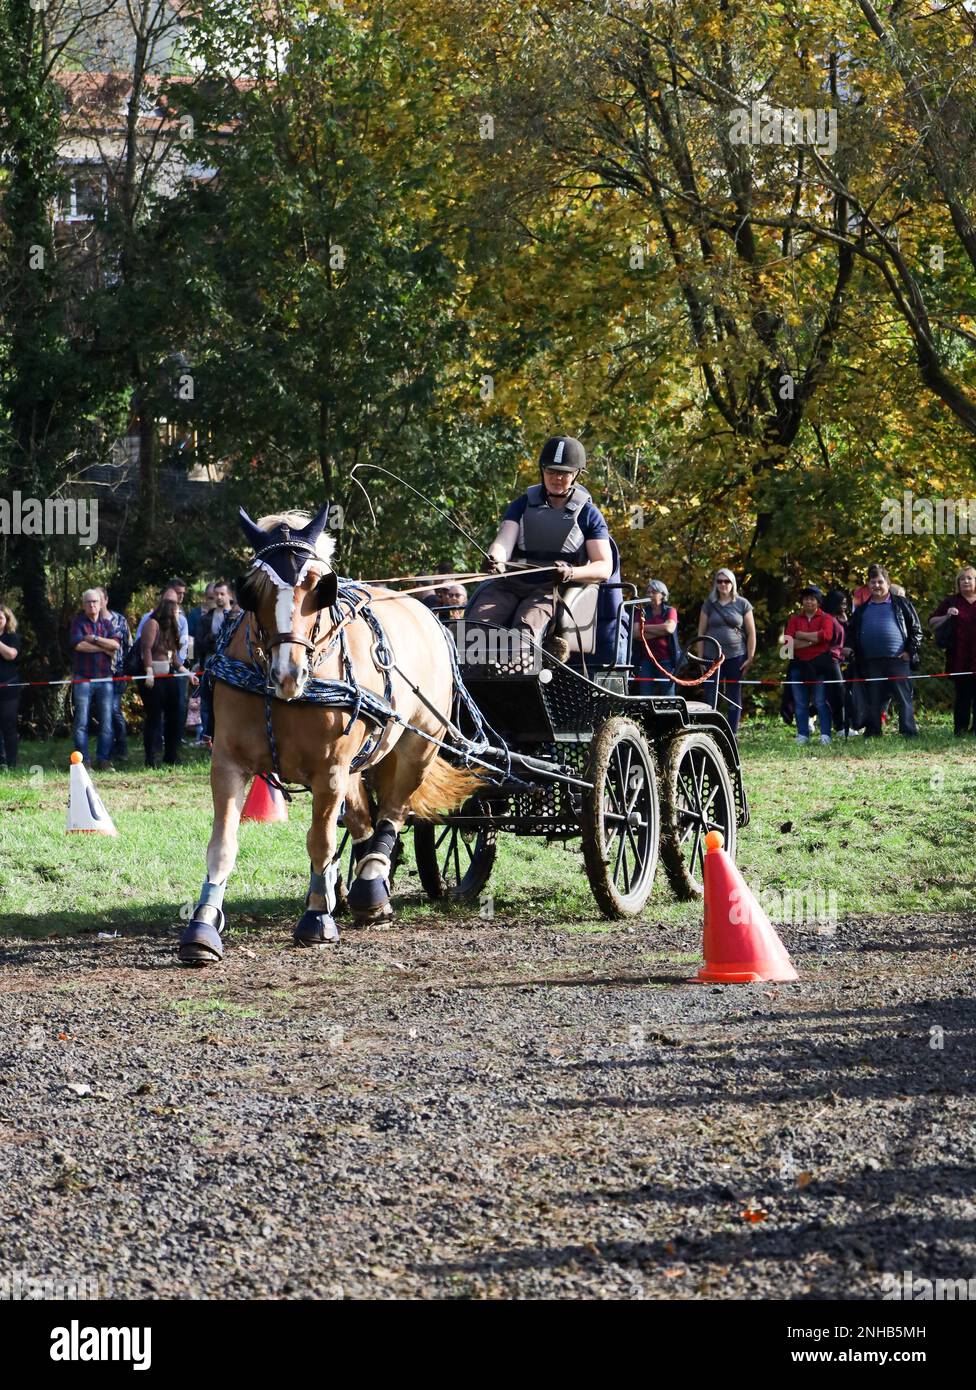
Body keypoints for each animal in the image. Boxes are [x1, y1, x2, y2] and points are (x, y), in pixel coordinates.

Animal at [177, 502, 482, 965]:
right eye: (254, 590)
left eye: (319, 587)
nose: (288, 673)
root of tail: (427, 612)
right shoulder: (228, 763)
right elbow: (223, 844)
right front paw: (203, 925)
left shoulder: (330, 770)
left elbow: (319, 842)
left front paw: (317, 918)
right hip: (360, 761)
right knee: (362, 819)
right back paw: (365, 888)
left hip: (419, 745)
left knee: (392, 813)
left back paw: (372, 884)